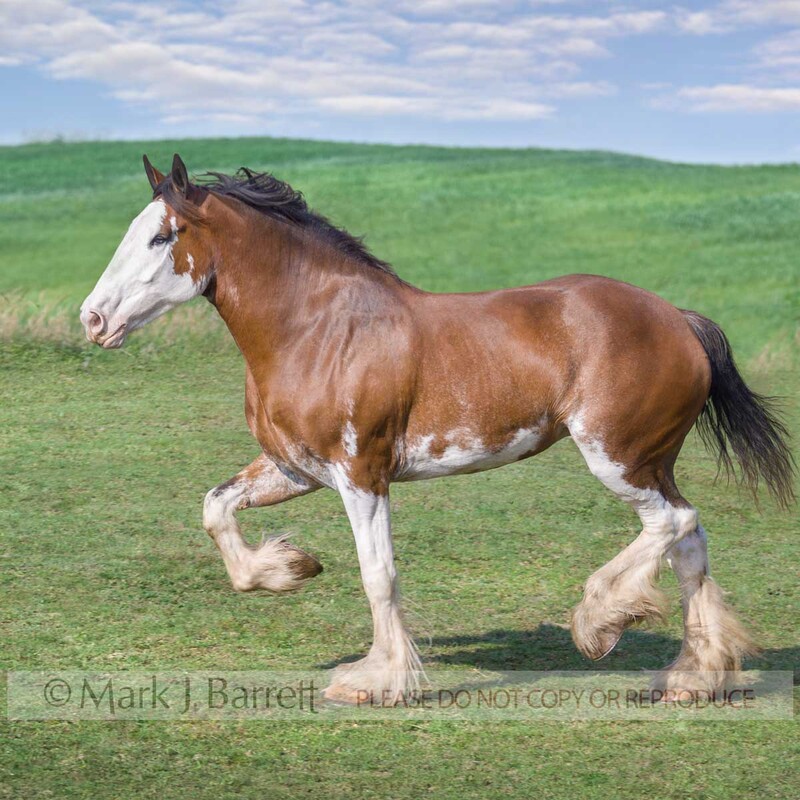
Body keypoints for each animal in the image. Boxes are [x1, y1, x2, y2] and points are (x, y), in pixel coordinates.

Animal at [80, 154, 794, 704]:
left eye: (163, 236)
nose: (92, 319)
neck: (317, 329)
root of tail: (680, 319)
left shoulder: (361, 475)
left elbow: (379, 574)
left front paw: (374, 681)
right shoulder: (295, 469)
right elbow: (216, 508)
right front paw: (290, 568)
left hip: (617, 457)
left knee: (673, 523)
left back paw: (601, 623)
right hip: (650, 463)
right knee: (688, 539)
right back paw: (693, 678)